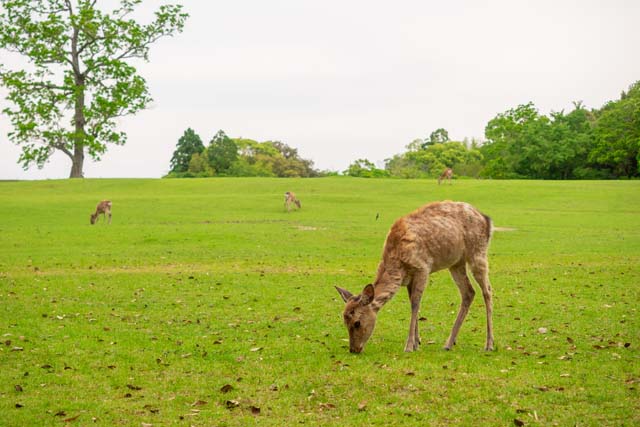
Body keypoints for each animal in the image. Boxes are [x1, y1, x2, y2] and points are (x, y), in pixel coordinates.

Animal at [336, 201, 496, 354]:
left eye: (357, 322)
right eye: (344, 321)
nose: (353, 350)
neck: (397, 261)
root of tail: (486, 219)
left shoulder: (422, 268)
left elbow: (415, 304)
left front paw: (408, 346)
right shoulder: (408, 278)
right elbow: (412, 303)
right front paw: (416, 344)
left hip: (478, 252)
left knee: (487, 290)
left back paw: (489, 344)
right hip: (456, 263)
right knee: (469, 292)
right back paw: (448, 344)